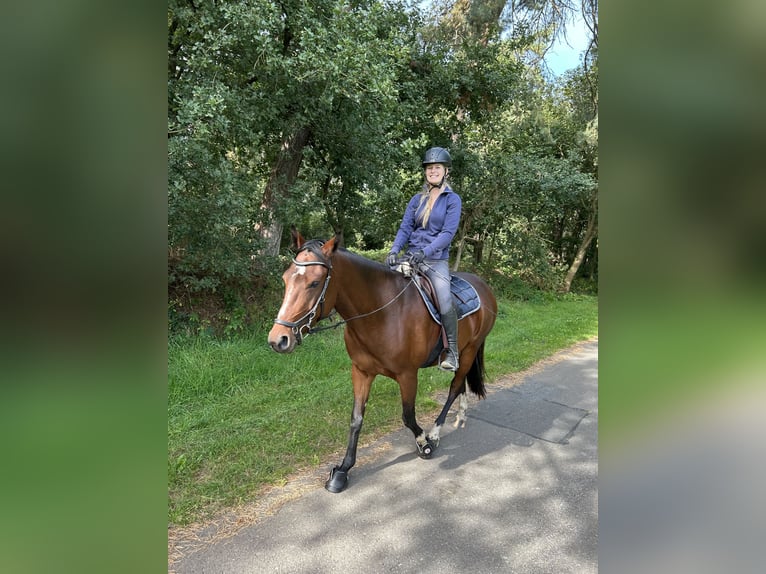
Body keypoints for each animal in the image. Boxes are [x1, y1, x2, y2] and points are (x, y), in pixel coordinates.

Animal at [267, 234, 497, 493]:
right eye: (286, 278)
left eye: (315, 283)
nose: (278, 339)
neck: (384, 313)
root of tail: (483, 285)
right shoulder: (361, 372)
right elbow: (356, 419)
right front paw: (342, 471)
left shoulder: (408, 375)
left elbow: (408, 416)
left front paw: (424, 443)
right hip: (468, 351)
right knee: (461, 384)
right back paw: (461, 416)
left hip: (469, 350)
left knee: (454, 387)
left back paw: (436, 434)